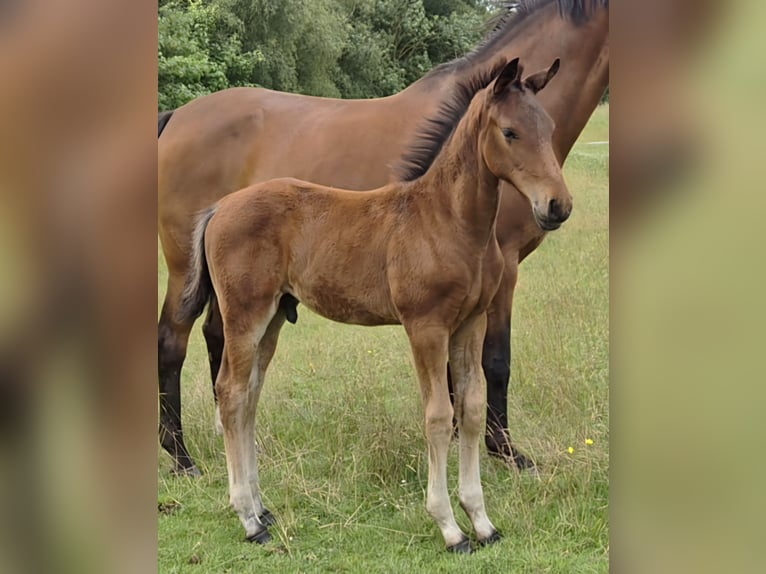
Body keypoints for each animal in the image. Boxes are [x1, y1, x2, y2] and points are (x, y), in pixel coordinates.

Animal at [158, 0, 609, 475]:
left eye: (549, 127)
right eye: (510, 133)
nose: (558, 206)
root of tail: (175, 118)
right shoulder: (503, 269)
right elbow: (496, 361)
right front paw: (504, 450)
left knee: (218, 339)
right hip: (183, 269)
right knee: (172, 341)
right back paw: (182, 456)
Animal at [177, 57, 570, 552]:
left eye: (549, 126)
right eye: (510, 131)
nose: (557, 206)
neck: (449, 221)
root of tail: (219, 207)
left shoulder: (470, 323)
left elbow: (472, 409)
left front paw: (482, 521)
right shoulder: (425, 326)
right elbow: (439, 415)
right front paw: (449, 527)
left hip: (273, 318)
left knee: (248, 397)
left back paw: (263, 509)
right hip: (245, 314)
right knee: (230, 393)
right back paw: (248, 518)